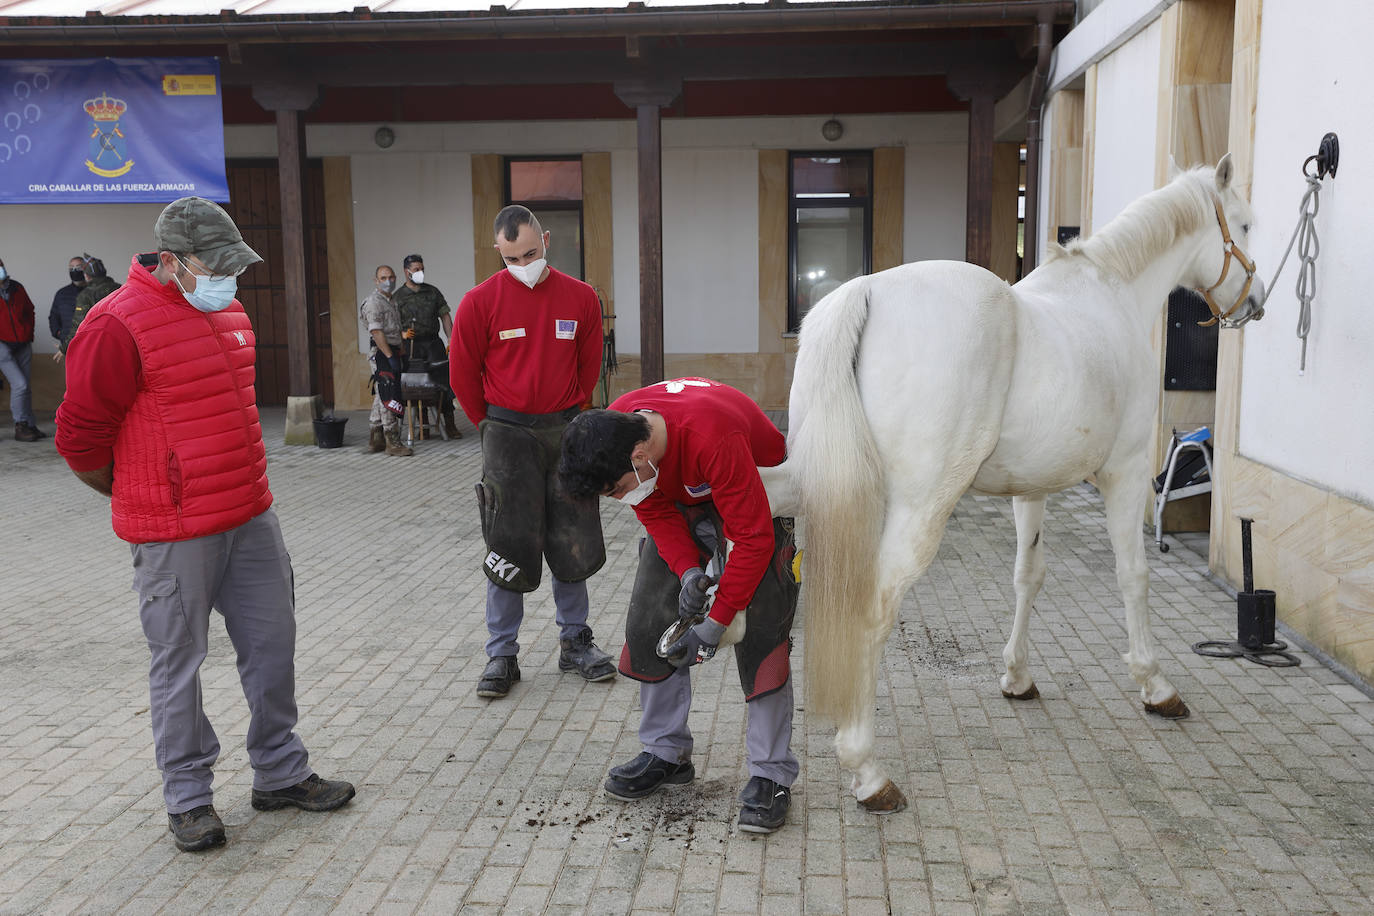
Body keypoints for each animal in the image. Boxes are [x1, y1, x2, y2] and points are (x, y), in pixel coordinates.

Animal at [763, 155, 1264, 807]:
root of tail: (864, 290)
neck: (1113, 294)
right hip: (920, 509)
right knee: (874, 609)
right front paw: (1155, 684)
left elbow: (1029, 576)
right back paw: (867, 769)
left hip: (810, 482)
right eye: (1247, 225)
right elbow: (1134, 576)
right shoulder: (1126, 474)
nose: (1256, 301)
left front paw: (1017, 677)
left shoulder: (1032, 489)